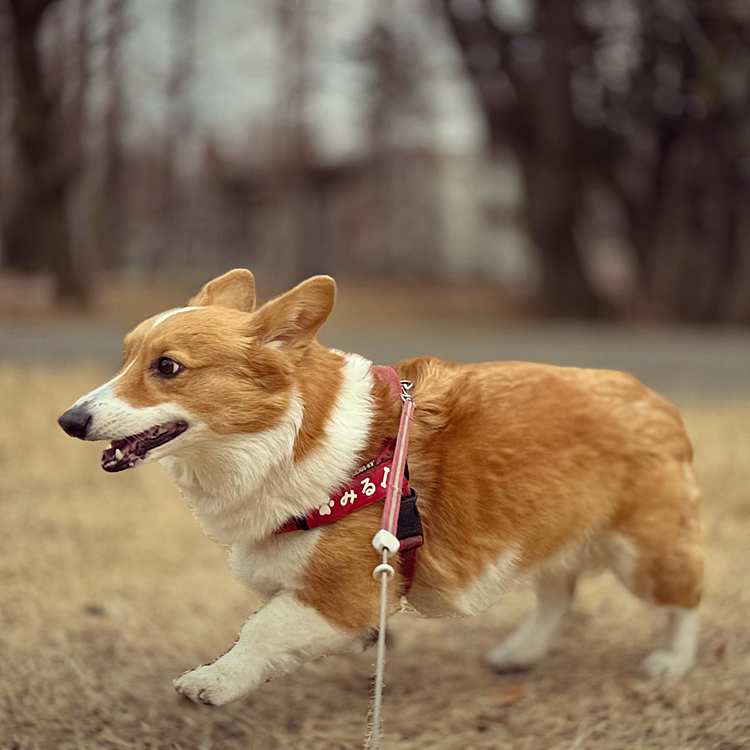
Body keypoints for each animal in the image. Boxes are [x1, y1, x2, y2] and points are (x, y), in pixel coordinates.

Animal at [58, 274, 704, 708]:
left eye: (167, 367)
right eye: (125, 358)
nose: (69, 421)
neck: (285, 435)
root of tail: (659, 402)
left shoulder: (346, 594)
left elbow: (262, 628)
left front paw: (214, 681)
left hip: (642, 555)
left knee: (687, 599)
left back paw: (672, 662)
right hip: (539, 531)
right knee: (558, 593)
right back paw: (519, 653)